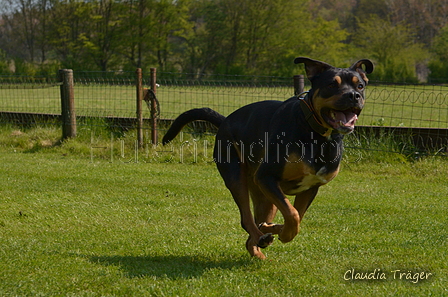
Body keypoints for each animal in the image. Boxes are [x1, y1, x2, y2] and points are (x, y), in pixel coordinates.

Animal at [163, 56, 372, 258]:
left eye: (360, 86)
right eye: (331, 84)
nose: (353, 95)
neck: (316, 133)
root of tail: (225, 120)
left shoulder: (310, 187)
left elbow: (297, 215)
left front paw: (277, 229)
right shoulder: (267, 176)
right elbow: (293, 215)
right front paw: (283, 232)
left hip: (265, 195)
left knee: (254, 229)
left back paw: (260, 244)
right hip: (237, 176)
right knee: (246, 218)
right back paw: (261, 237)